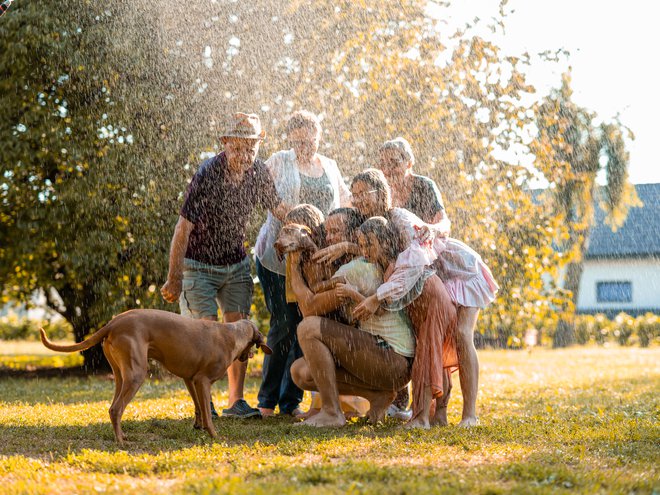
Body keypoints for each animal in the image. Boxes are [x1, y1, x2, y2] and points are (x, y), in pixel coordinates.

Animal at [39, 310, 270, 446]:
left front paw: (199, 427)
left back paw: (121, 436)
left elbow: (198, 407)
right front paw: (214, 435)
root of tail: (114, 321)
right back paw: (121, 441)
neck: (233, 332)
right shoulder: (203, 381)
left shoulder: (191, 379)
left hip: (121, 376)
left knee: (113, 406)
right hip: (136, 375)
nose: (249, 356)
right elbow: (207, 413)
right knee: (116, 409)